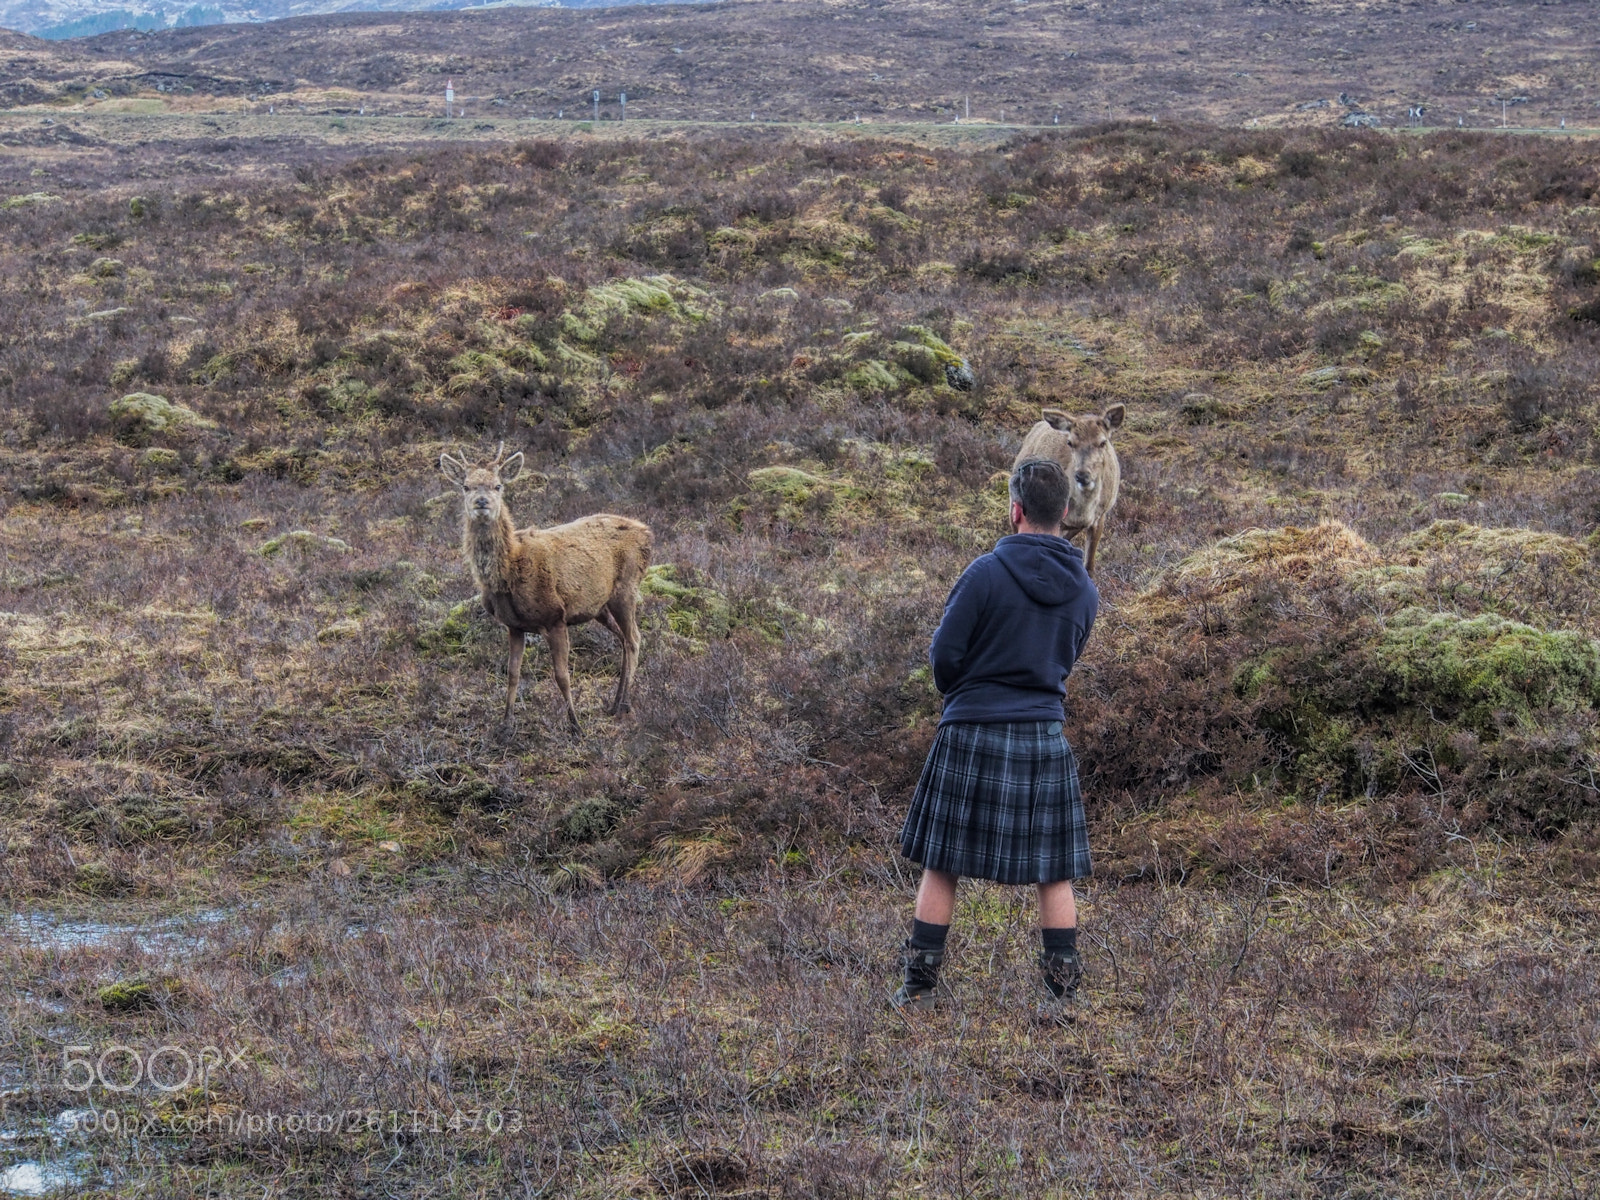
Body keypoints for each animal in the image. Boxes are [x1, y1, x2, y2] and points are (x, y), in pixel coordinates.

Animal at [439, 443, 652, 736]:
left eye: (498, 486)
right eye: (465, 486)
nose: (481, 502)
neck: (509, 573)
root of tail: (648, 533)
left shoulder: (555, 617)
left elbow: (562, 675)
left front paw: (575, 725)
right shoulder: (514, 626)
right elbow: (512, 674)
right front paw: (506, 725)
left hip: (627, 587)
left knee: (634, 639)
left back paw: (624, 705)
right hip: (599, 606)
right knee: (622, 640)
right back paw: (614, 703)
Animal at [1013, 404, 1124, 574]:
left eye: (1102, 442)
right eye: (1070, 443)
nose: (1082, 475)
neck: (1082, 510)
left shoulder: (1100, 517)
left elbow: (1089, 567)